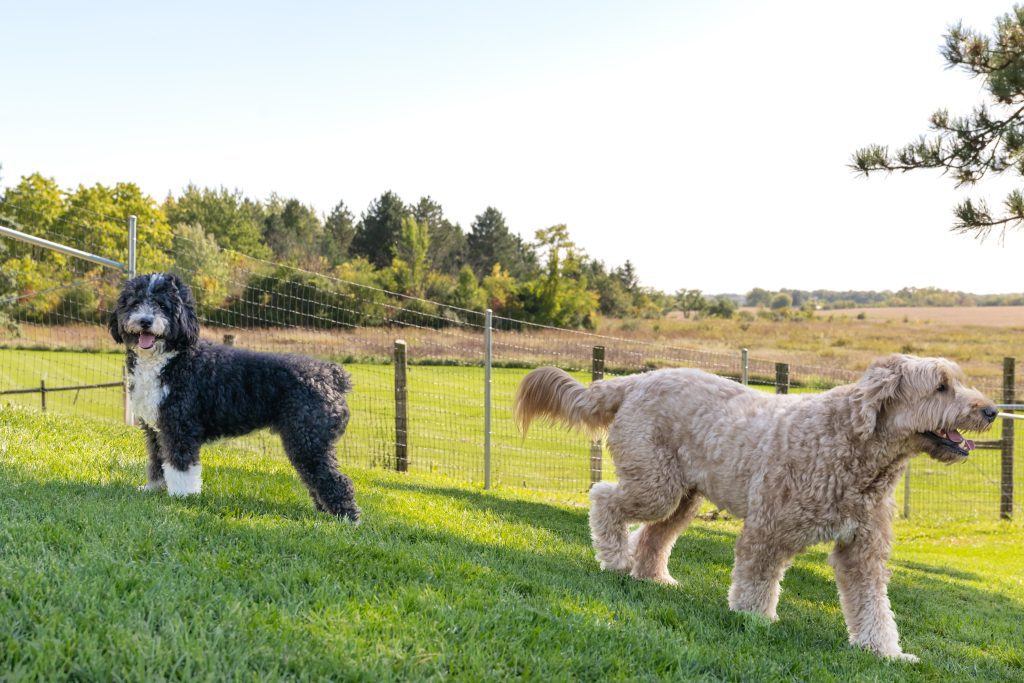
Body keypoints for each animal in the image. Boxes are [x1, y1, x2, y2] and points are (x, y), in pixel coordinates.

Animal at [108, 270, 360, 520]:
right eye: (135, 302)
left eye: (162, 305)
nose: (145, 321)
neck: (172, 358)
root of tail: (332, 376)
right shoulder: (156, 429)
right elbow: (157, 460)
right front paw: (154, 488)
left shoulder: (180, 426)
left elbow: (181, 465)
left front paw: (182, 496)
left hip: (308, 440)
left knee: (336, 480)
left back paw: (347, 518)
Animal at [516, 356, 995, 659]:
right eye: (941, 386)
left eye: (957, 380)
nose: (991, 410)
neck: (847, 444)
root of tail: (636, 379)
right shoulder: (768, 530)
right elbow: (757, 582)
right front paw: (755, 621)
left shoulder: (862, 551)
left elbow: (874, 606)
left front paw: (885, 653)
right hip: (656, 486)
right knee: (604, 499)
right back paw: (614, 558)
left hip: (683, 497)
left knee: (653, 537)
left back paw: (652, 576)